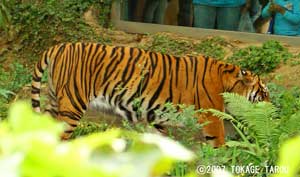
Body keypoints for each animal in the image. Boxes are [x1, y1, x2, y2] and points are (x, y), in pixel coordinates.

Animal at [31, 42, 270, 147]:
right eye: (264, 92)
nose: (273, 109)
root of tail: (59, 46)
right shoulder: (211, 117)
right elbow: (219, 141)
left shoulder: (155, 116)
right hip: (72, 105)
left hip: (55, 101)